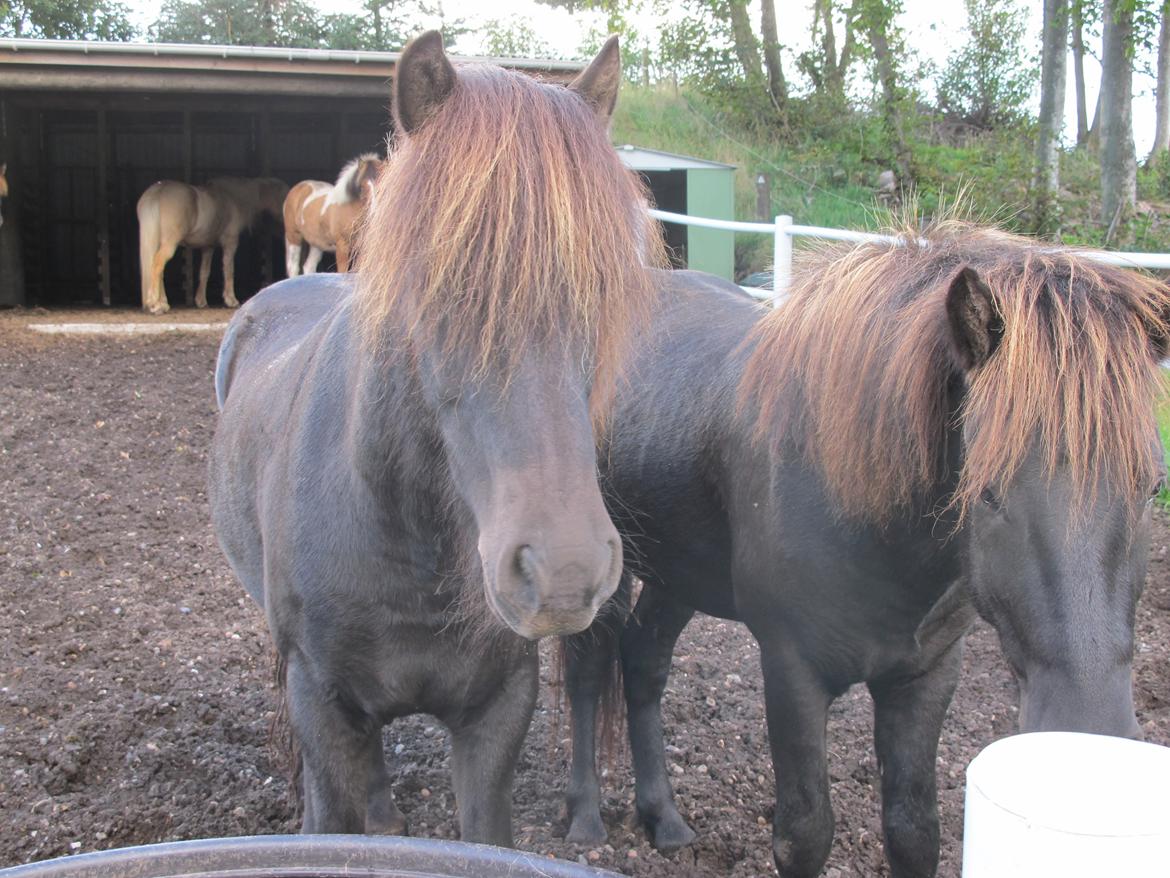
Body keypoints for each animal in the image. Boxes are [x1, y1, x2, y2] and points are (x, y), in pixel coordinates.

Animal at [133, 173, 285, 313]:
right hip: (169, 243)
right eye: (283, 195)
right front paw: (231, 300)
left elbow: (204, 272)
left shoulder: (208, 247)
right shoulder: (230, 243)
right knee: (157, 265)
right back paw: (155, 304)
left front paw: (201, 301)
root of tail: (158, 191)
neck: (232, 200)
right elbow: (229, 269)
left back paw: (163, 304)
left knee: (158, 269)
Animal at [207, 32, 664, 847]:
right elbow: (330, 816)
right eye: (441, 285)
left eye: (605, 290)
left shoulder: (497, 714)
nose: (564, 572)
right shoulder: (320, 706)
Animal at [561, 227, 1165, 878]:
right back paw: (584, 817)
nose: (1090, 729)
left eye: (1152, 486)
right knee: (588, 671)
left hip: (679, 573)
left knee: (644, 661)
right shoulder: (792, 671)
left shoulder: (926, 677)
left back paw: (664, 819)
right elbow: (804, 835)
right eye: (986, 491)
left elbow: (914, 832)